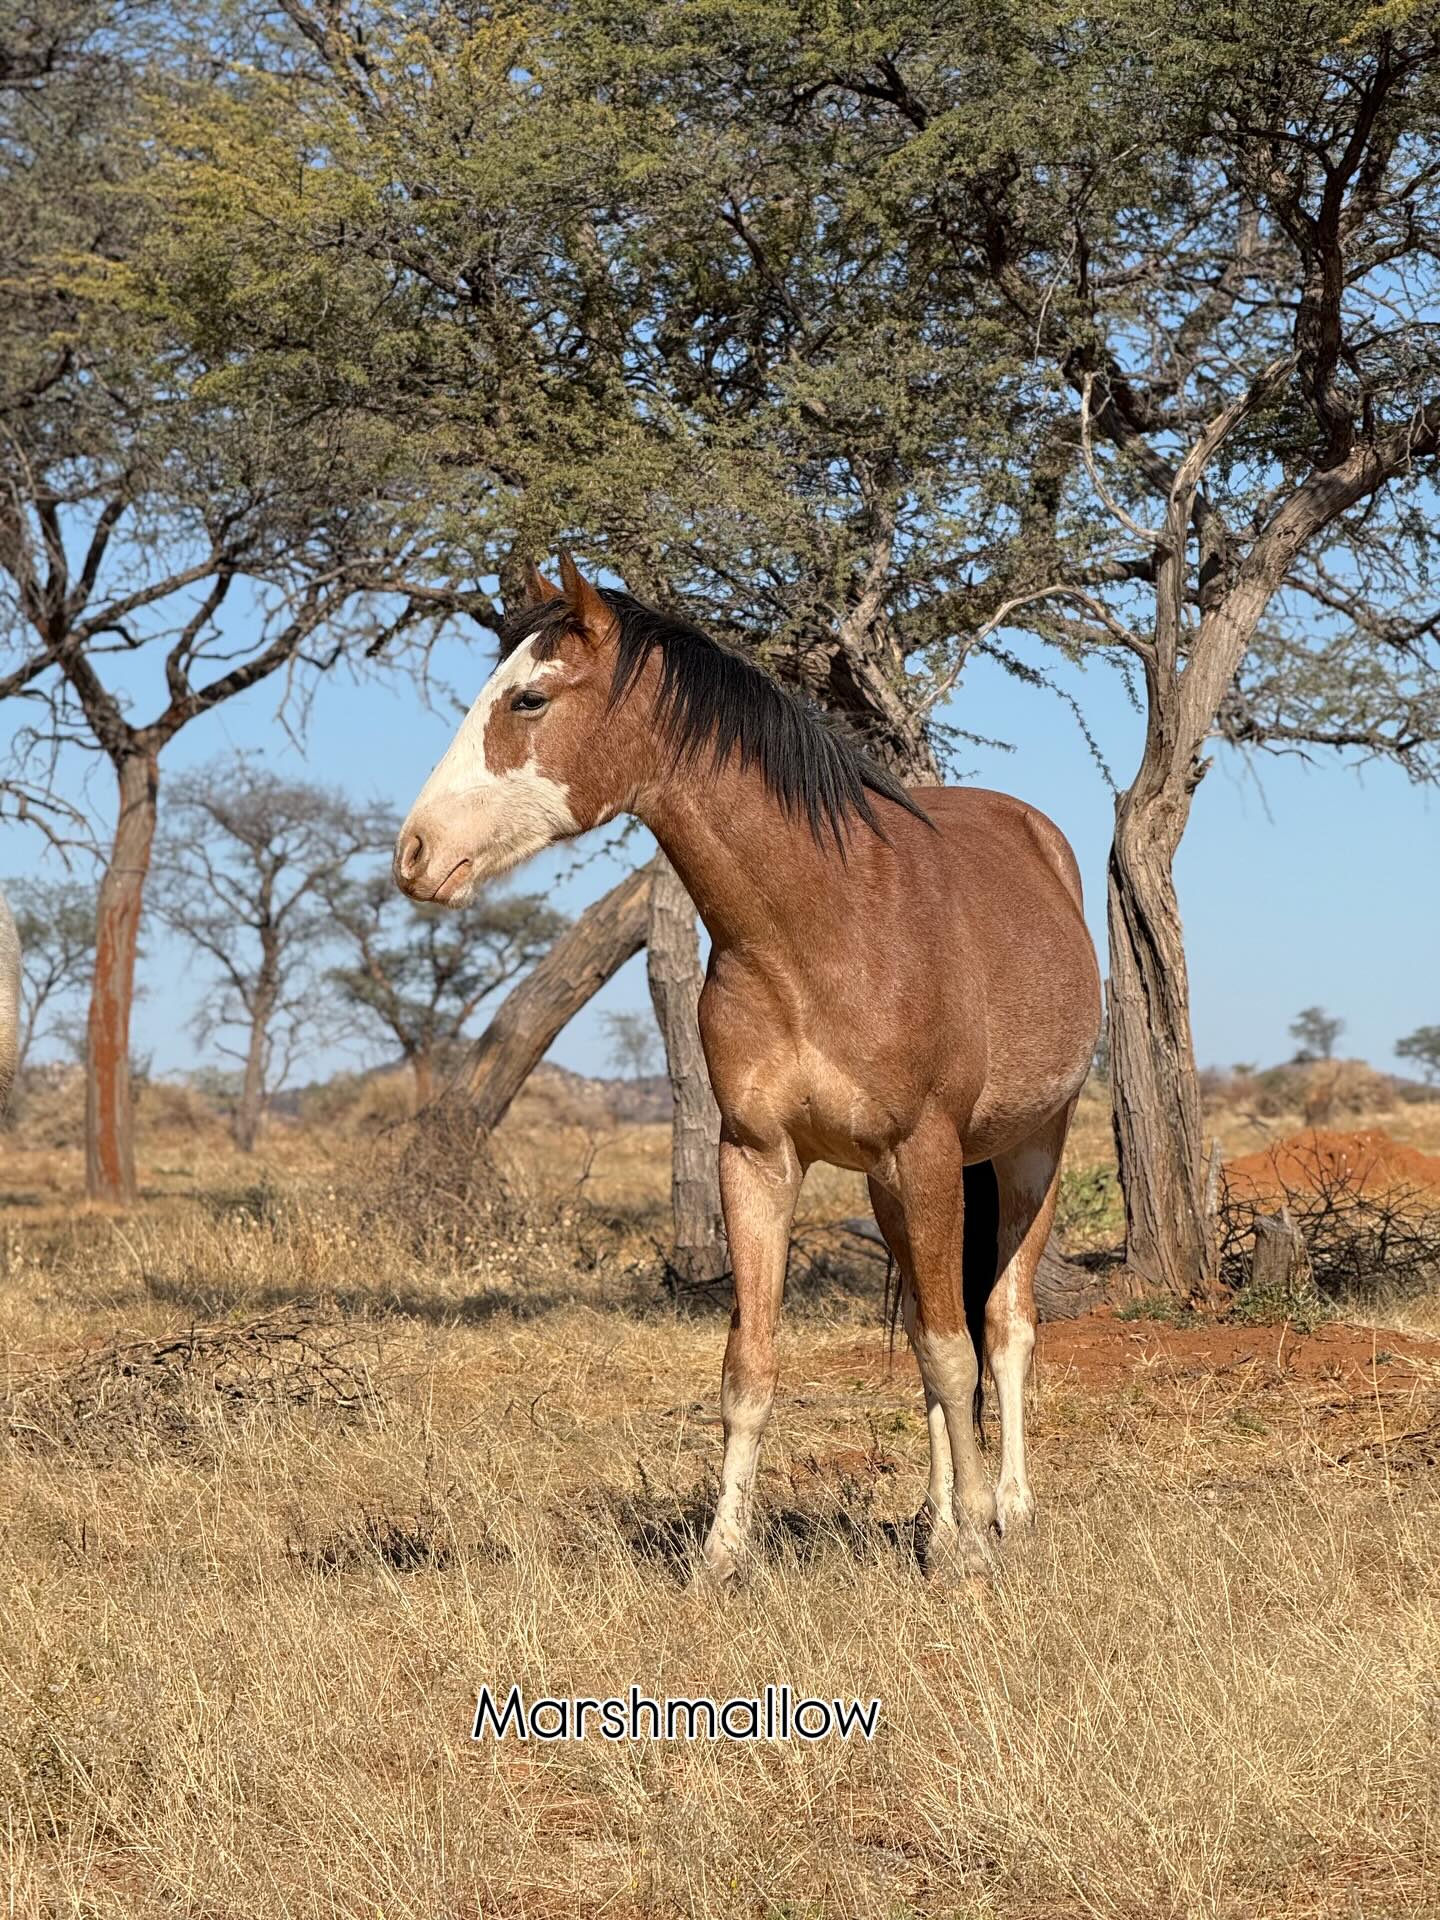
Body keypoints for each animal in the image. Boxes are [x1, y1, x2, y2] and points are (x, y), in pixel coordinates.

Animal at [394, 553, 1101, 1582]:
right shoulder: (758, 1158)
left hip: (1026, 1151)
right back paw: (933, 1520)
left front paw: (973, 1546)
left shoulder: (928, 1152)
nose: (414, 853)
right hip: (893, 1189)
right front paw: (725, 1552)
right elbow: (755, 1364)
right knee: (935, 1340)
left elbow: (954, 1349)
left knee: (1004, 1328)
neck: (823, 928)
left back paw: (1004, 1511)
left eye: (528, 698)